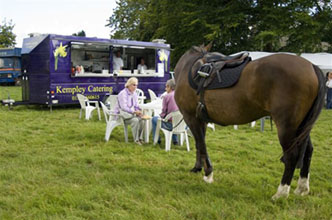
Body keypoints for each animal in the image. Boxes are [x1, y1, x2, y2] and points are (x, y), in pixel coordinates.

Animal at [175, 44, 326, 199]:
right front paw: (197, 168)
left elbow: (201, 144)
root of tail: (312, 66)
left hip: (287, 127)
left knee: (291, 156)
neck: (189, 66)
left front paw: (208, 174)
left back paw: (281, 193)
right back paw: (302, 188)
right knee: (308, 151)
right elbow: (199, 144)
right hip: (302, 127)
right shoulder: (200, 119)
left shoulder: (191, 117)